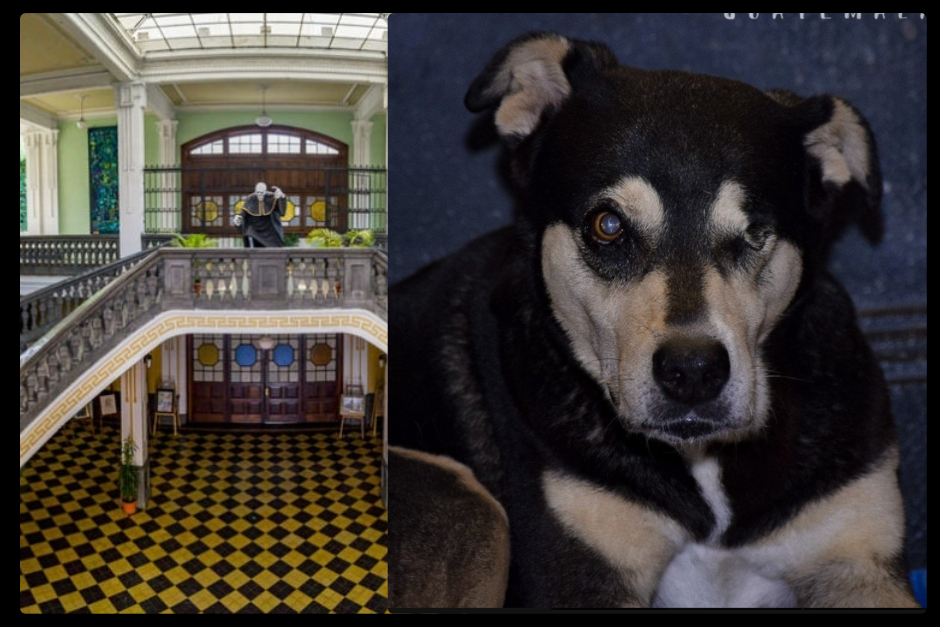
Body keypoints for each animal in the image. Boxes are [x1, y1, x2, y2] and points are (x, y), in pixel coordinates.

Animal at [388, 33, 916, 608]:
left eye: (756, 231)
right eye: (608, 225)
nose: (693, 373)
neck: (703, 464)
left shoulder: (858, 559)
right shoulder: (581, 574)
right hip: (470, 502)